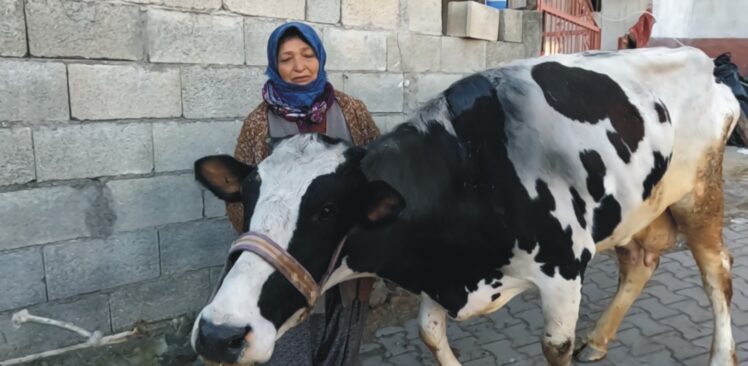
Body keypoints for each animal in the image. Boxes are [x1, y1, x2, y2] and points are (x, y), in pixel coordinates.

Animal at [190, 46, 740, 366]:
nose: (219, 334)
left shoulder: (563, 273)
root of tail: (703, 59)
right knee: (641, 262)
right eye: (246, 199)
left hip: (700, 192)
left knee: (718, 272)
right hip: (636, 208)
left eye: (327, 210)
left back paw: (721, 355)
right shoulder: (438, 270)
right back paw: (600, 340)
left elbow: (554, 348)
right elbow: (431, 335)